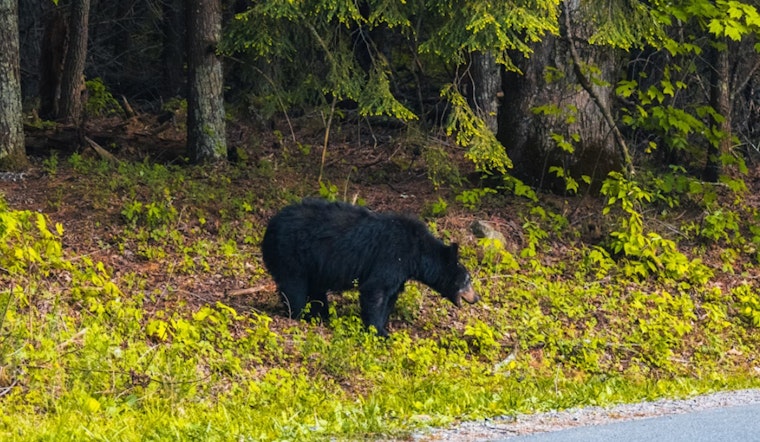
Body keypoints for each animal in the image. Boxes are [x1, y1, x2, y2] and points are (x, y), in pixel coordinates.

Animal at [261, 198, 479, 336]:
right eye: (467, 280)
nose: (476, 298)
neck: (417, 253)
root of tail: (270, 226)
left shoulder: (401, 271)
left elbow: (390, 296)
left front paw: (383, 326)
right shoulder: (392, 256)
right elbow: (376, 290)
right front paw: (379, 331)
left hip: (312, 262)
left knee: (315, 289)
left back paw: (321, 315)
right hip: (290, 252)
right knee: (294, 286)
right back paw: (301, 315)